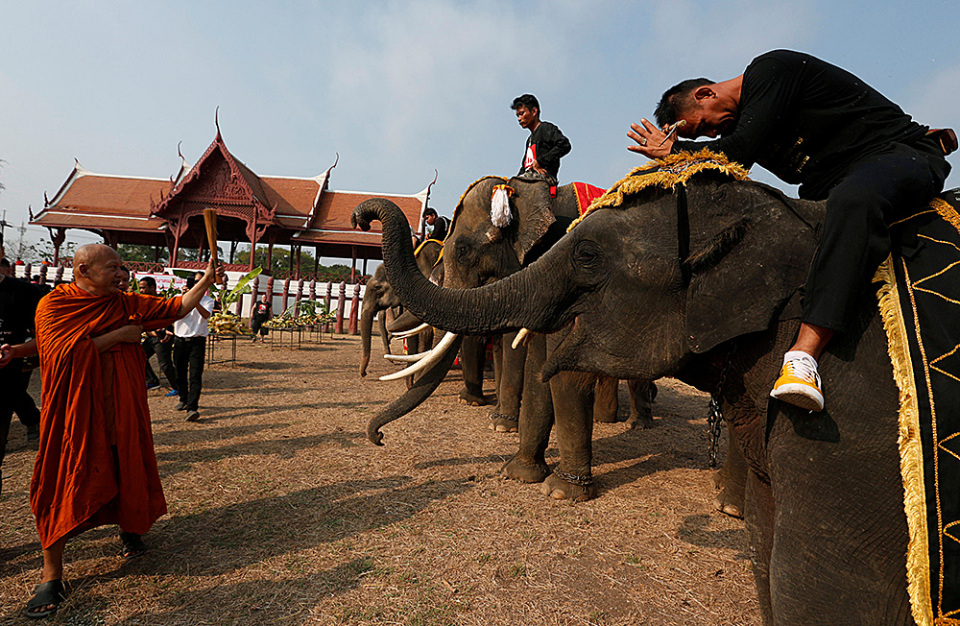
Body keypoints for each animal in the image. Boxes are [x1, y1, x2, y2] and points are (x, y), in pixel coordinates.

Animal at [352, 164, 927, 623]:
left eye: (468, 248)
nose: (377, 440)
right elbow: (539, 361)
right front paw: (520, 474)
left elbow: (560, 370)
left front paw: (557, 491)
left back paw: (720, 501)